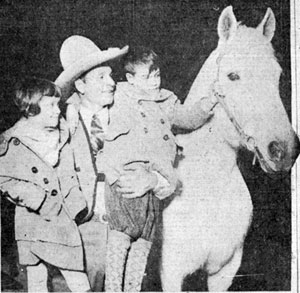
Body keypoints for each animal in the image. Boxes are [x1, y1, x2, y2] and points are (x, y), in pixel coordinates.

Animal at [161, 5, 298, 290]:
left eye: (278, 75)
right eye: (232, 76)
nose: (284, 150)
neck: (209, 188)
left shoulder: (224, 272)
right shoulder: (171, 274)